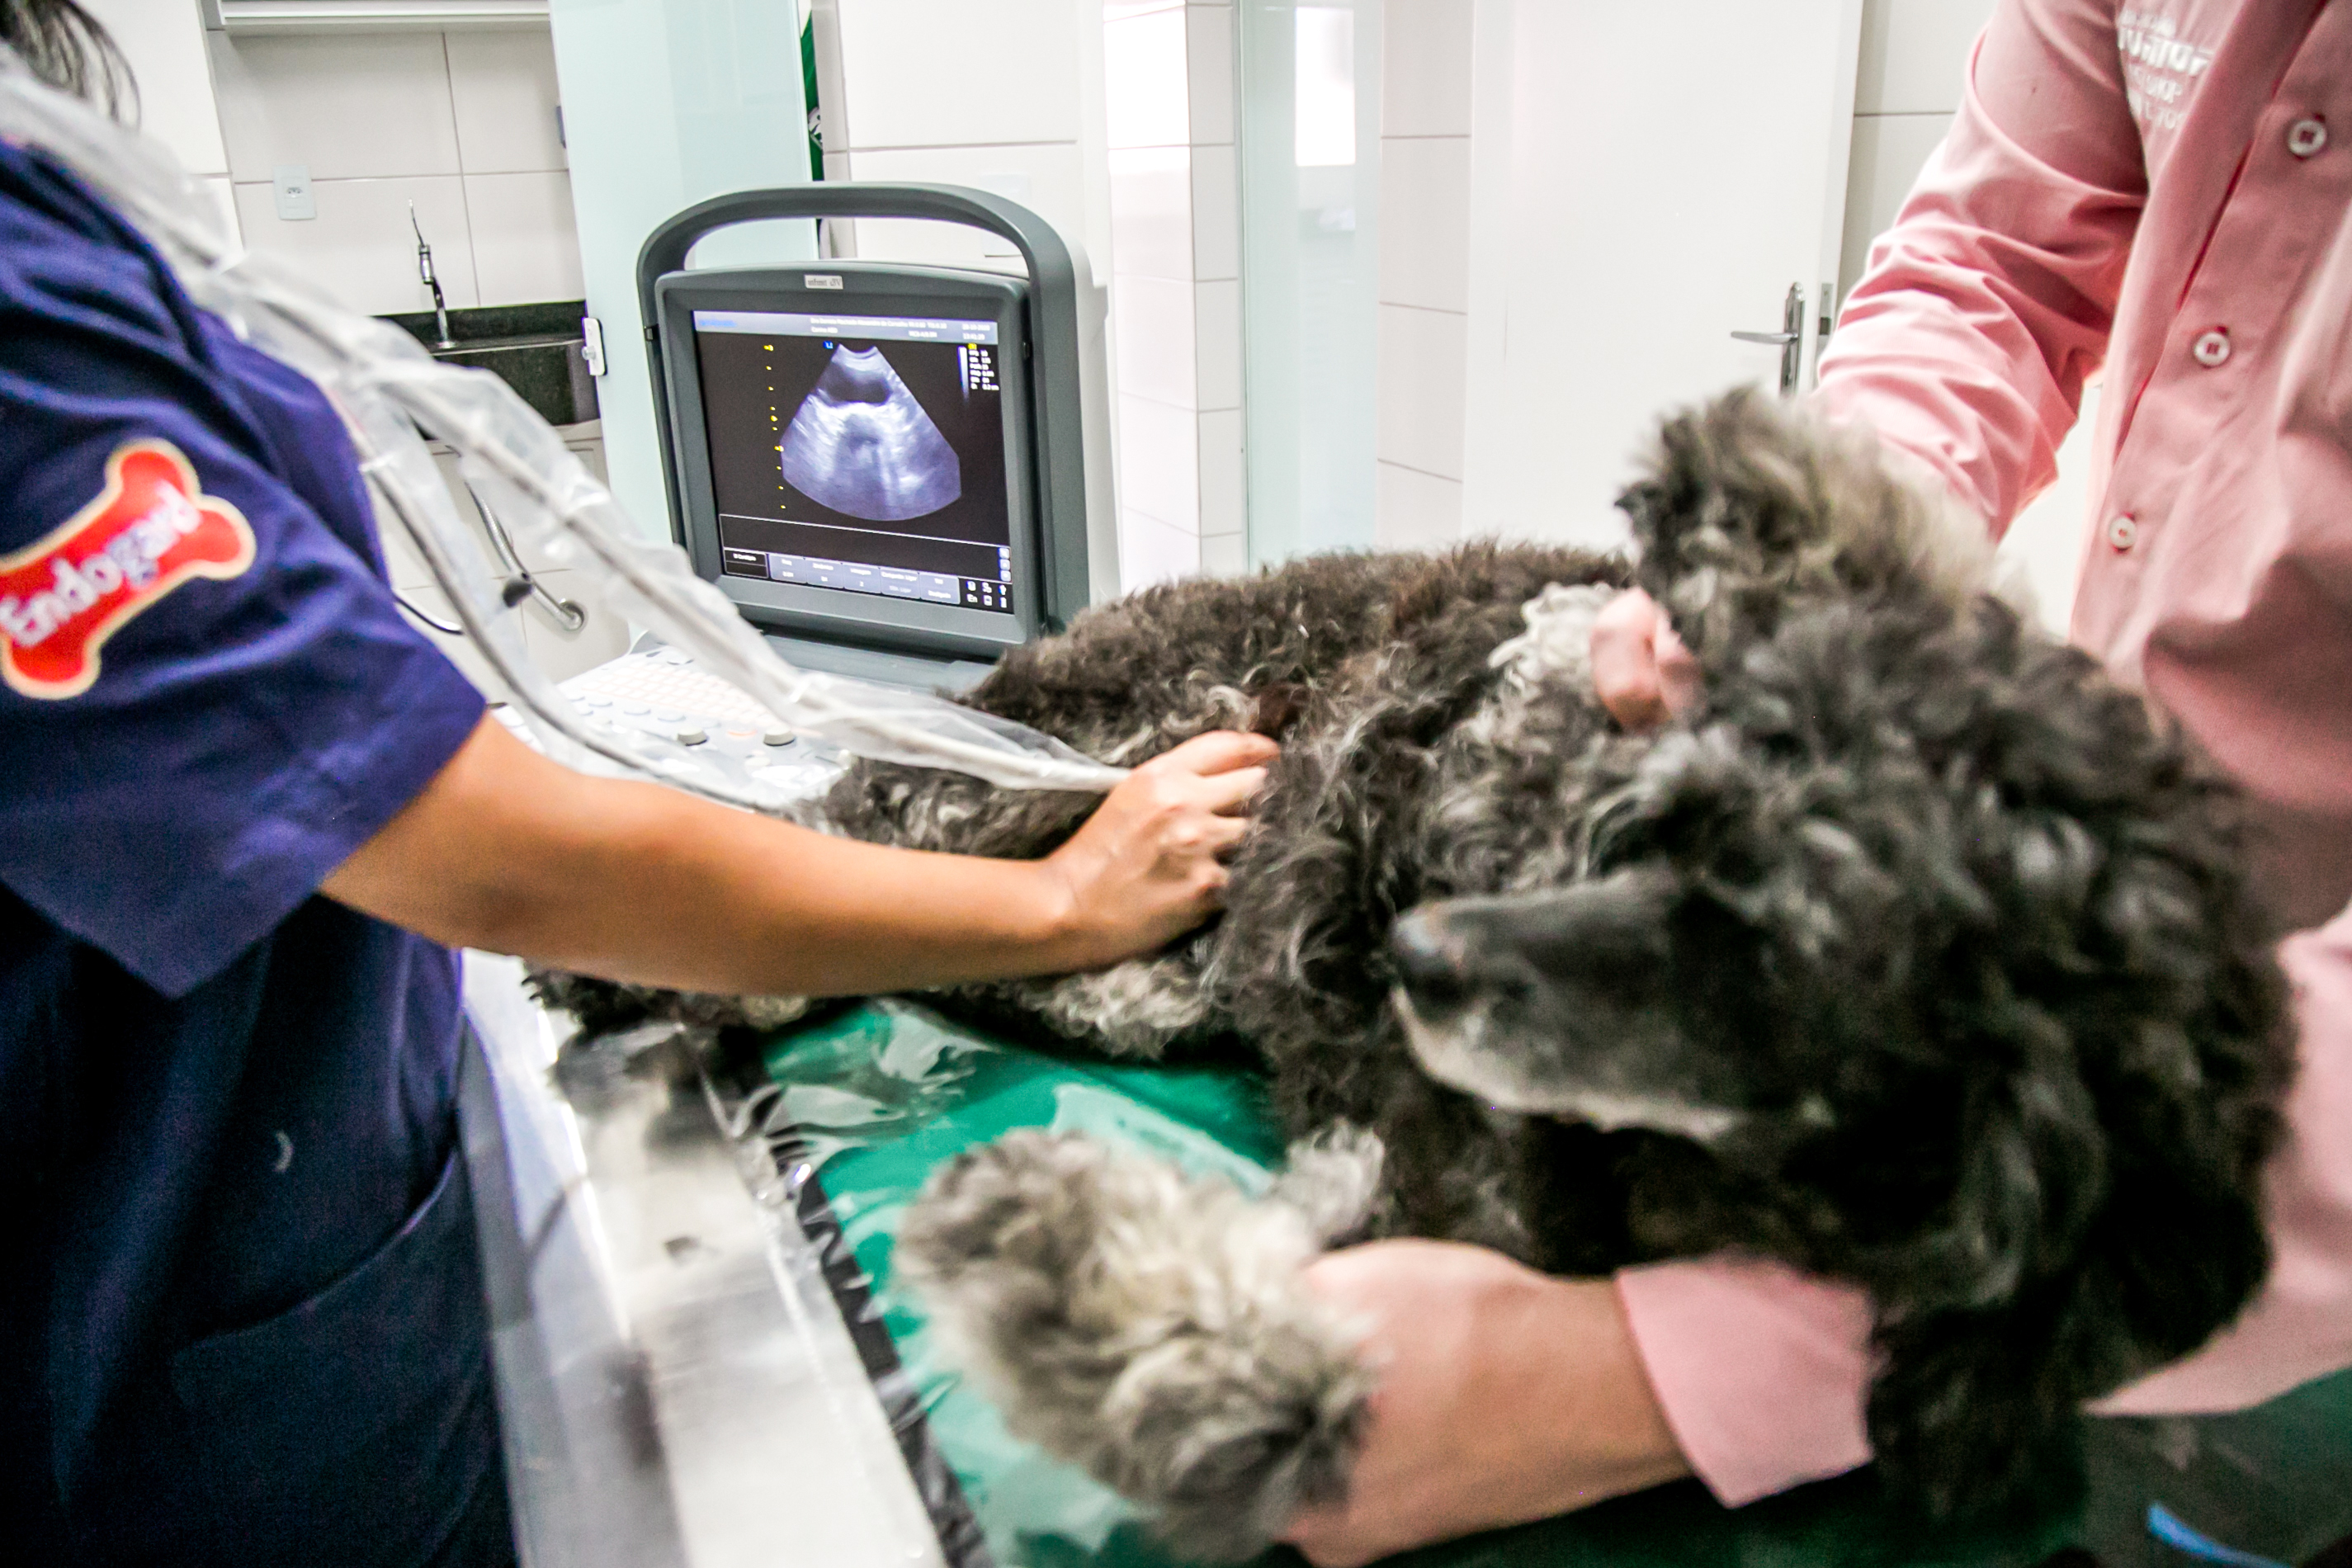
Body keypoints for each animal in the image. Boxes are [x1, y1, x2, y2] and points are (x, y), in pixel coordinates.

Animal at [537, 392, 2292, 1558]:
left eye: (1789, 966)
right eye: (1681, 830)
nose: (1427, 963)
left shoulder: (1421, 1205)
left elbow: (1279, 1389)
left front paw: (1060, 1250)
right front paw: (1766, 486)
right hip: (1078, 747)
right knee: (843, 835)